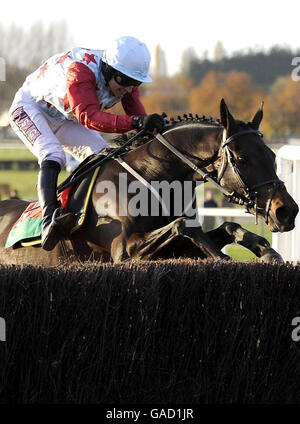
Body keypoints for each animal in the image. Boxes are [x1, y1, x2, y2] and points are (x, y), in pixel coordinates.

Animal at [0, 99, 298, 264]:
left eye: (272, 154)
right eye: (241, 158)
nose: (287, 211)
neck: (153, 181)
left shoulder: (174, 249)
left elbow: (227, 225)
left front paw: (266, 251)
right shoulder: (123, 251)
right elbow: (181, 225)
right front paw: (221, 255)